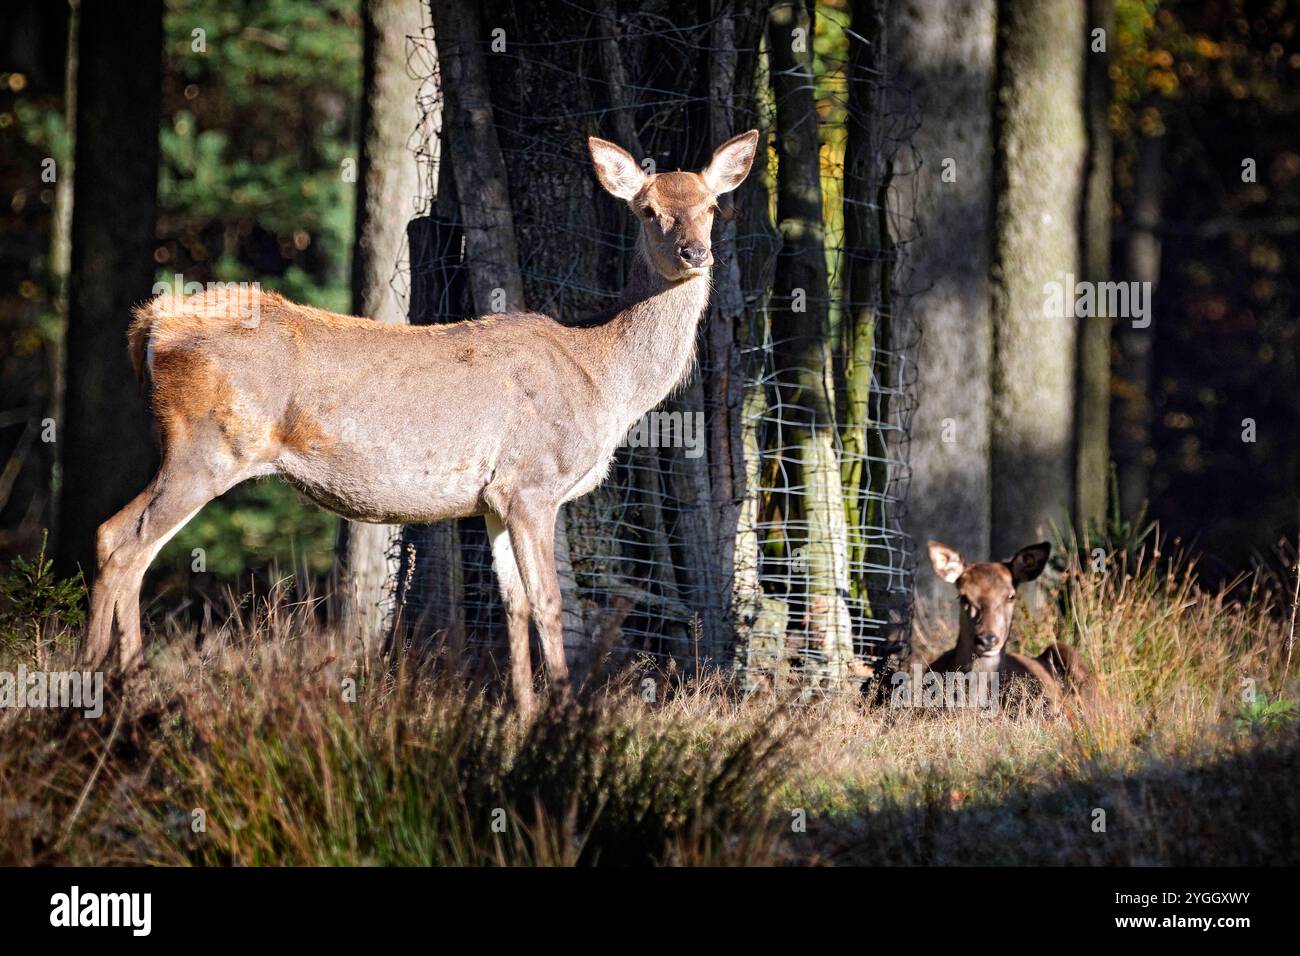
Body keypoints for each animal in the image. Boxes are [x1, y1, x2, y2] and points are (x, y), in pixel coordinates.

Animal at [81, 127, 759, 712]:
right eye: (647, 210)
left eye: (713, 206)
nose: (694, 252)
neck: (603, 381)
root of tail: (150, 325)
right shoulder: (533, 481)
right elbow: (550, 602)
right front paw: (560, 716)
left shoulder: (494, 498)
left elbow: (512, 605)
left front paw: (523, 714)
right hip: (207, 447)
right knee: (123, 539)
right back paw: (102, 687)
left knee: (120, 540)